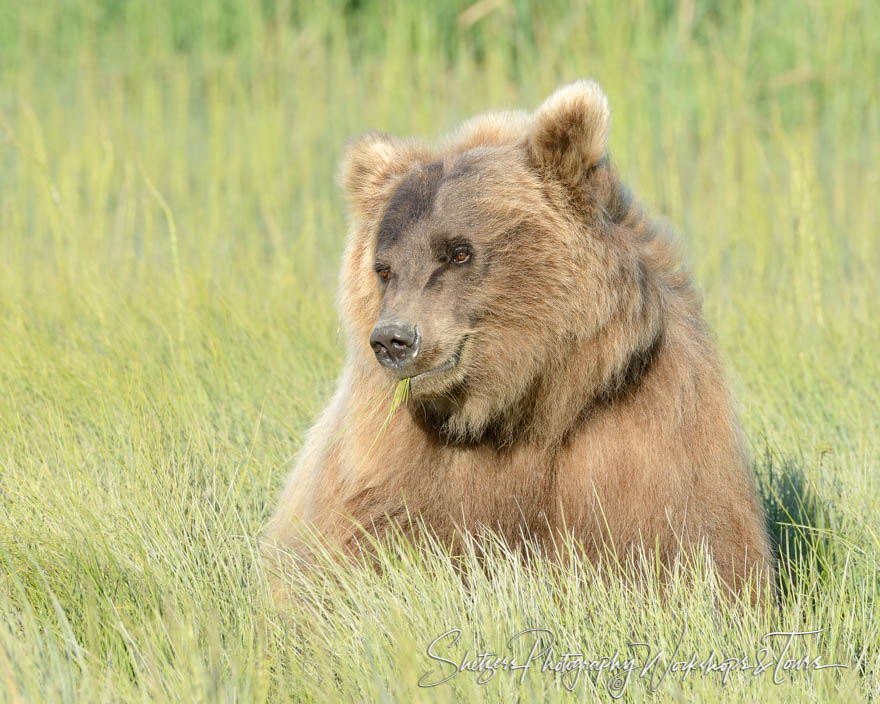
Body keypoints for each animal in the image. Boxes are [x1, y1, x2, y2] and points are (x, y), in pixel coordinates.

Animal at [264, 81, 772, 600]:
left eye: (459, 252)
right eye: (384, 268)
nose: (394, 339)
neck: (519, 404)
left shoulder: (642, 426)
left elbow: (683, 547)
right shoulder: (391, 456)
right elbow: (354, 547)